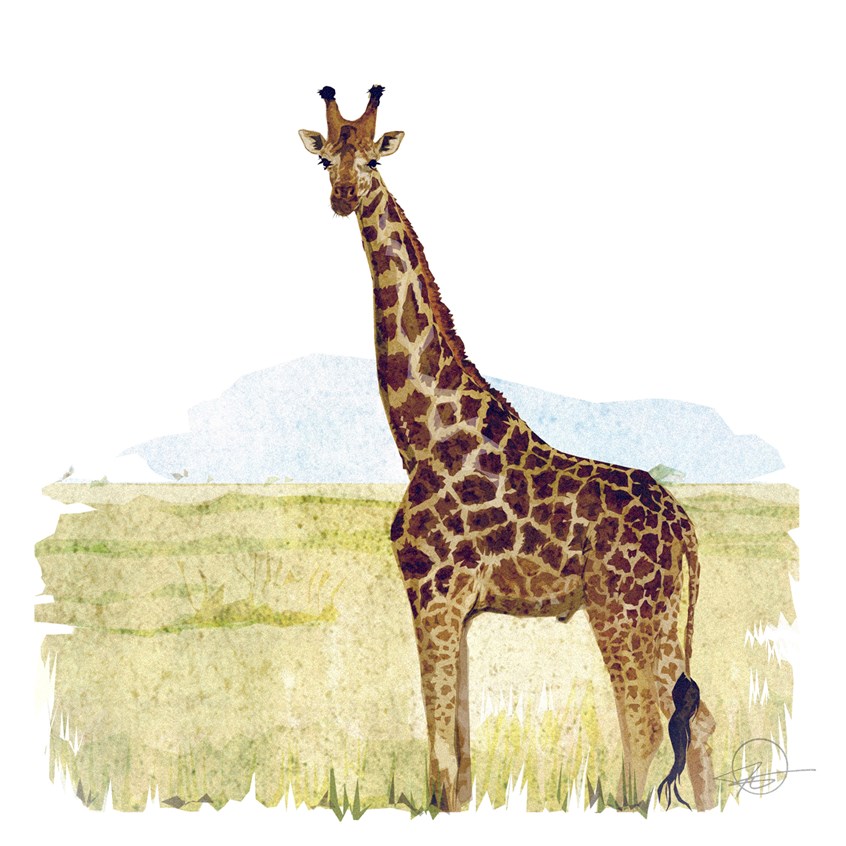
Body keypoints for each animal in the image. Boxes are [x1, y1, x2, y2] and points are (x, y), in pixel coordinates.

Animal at [299, 85, 717, 812]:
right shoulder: (459, 608)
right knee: (692, 717)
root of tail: (685, 525)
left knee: (644, 720)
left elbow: (439, 756)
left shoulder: (433, 592)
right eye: (326, 159)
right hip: (658, 613)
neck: (420, 434)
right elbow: (459, 761)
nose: (344, 196)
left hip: (625, 609)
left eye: (373, 159)